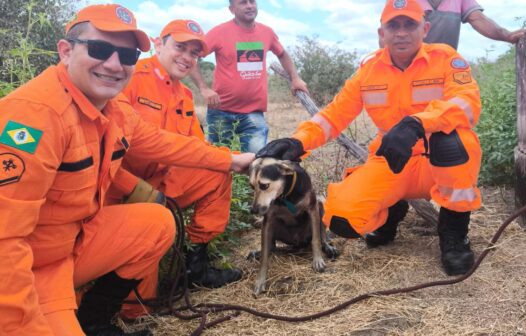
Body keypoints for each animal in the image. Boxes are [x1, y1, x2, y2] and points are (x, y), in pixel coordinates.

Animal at [248, 158, 338, 294]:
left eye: (264, 185)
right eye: (252, 186)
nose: (252, 210)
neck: (286, 195)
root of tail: (298, 243)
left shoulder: (312, 208)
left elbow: (316, 240)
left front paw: (317, 260)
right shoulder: (268, 219)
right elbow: (264, 255)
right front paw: (260, 280)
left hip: (320, 203)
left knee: (322, 236)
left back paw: (328, 247)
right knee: (271, 247)